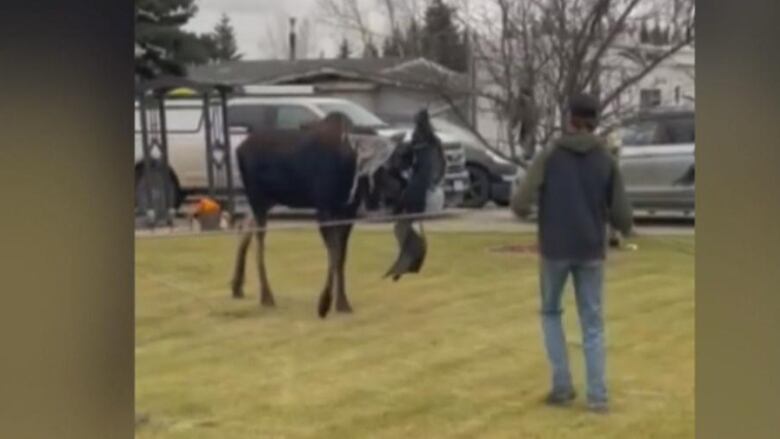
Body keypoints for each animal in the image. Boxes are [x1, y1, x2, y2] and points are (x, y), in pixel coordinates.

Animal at [230, 108, 444, 318]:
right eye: (388, 167)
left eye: (406, 167)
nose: (404, 196)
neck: (350, 165)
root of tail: (239, 149)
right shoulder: (324, 210)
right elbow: (334, 254)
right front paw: (324, 303)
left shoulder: (347, 212)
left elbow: (341, 257)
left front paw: (342, 303)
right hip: (257, 199)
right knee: (258, 243)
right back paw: (266, 296)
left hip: (267, 201)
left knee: (244, 228)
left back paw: (237, 287)